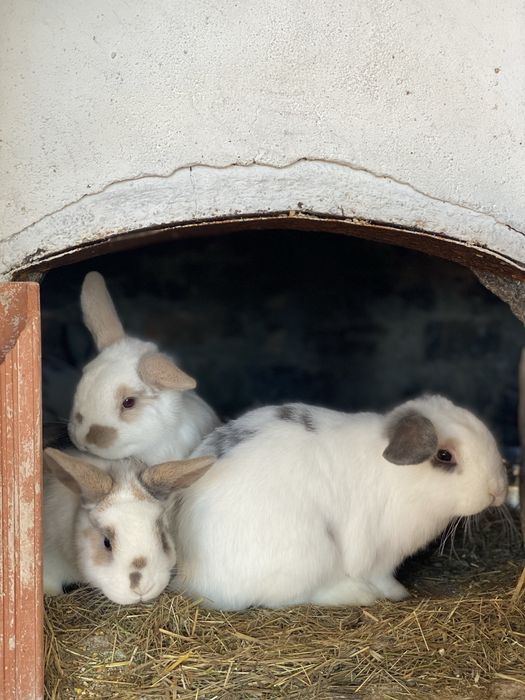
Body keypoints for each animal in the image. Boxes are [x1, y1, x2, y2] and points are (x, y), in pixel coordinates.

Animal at [172, 395, 508, 610]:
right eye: (444, 455)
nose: (498, 491)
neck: (402, 480)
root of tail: (190, 575)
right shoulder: (381, 554)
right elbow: (383, 577)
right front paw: (398, 594)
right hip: (309, 555)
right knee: (291, 597)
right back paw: (358, 595)